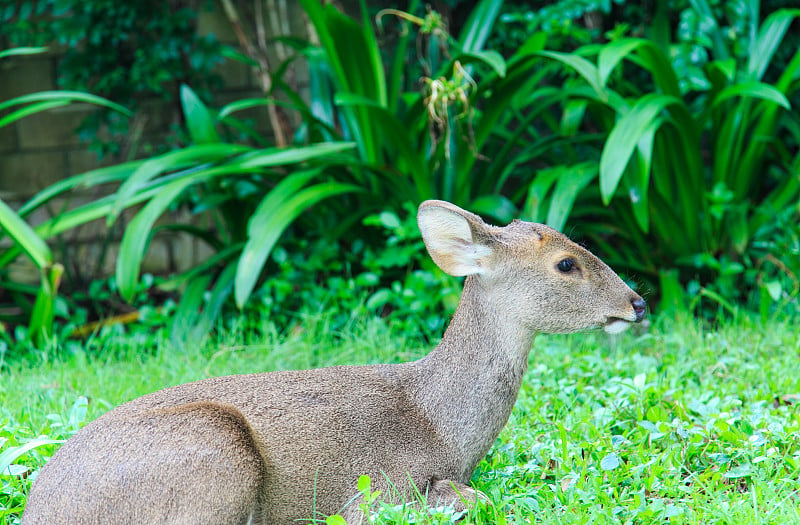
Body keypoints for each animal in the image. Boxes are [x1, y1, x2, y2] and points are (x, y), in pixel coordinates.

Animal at [21, 199, 648, 520]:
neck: (441, 424)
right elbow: (469, 500)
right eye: (566, 263)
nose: (637, 302)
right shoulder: (380, 488)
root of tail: (43, 509)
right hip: (216, 451)